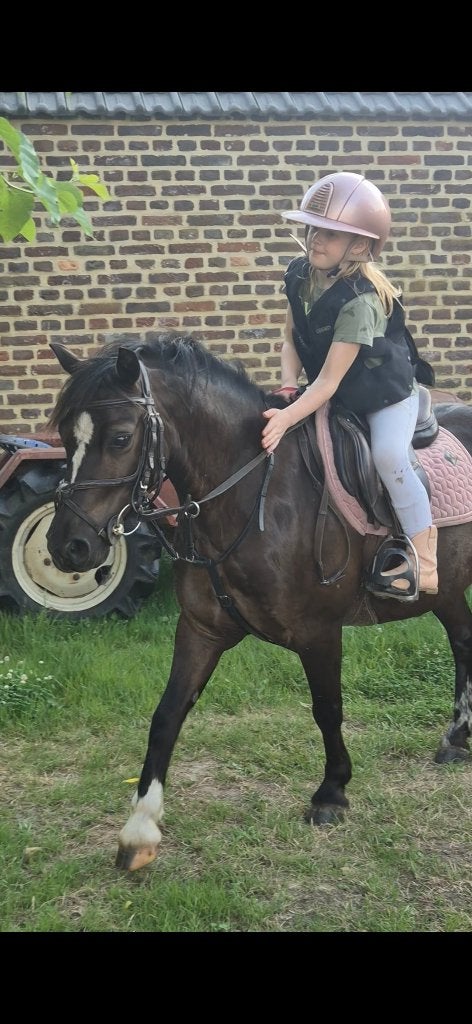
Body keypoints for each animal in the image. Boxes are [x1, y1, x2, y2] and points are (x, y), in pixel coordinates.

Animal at [46, 333, 472, 872]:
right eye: (64, 434)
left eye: (120, 438)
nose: (68, 547)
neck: (254, 492)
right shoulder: (200, 629)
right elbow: (166, 714)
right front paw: (139, 828)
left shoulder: (318, 632)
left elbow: (327, 708)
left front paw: (331, 794)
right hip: (448, 588)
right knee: (462, 641)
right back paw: (457, 737)